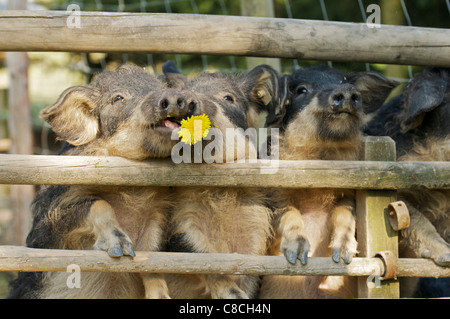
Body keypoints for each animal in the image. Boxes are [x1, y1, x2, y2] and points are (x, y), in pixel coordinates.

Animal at [7, 65, 199, 300]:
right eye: (117, 97)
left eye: (161, 87)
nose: (172, 96)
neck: (133, 190)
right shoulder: (50, 218)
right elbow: (98, 204)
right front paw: (121, 251)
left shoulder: (157, 215)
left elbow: (152, 257)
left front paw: (161, 296)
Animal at [161, 63, 282, 300]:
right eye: (189, 89)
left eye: (228, 97)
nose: (186, 98)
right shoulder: (178, 222)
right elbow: (197, 253)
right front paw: (234, 295)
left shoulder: (258, 223)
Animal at [258, 65, 396, 300]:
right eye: (302, 90)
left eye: (343, 80)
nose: (346, 91)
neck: (322, 156)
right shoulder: (272, 194)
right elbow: (288, 212)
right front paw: (298, 258)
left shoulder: (350, 193)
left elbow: (343, 214)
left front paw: (342, 258)